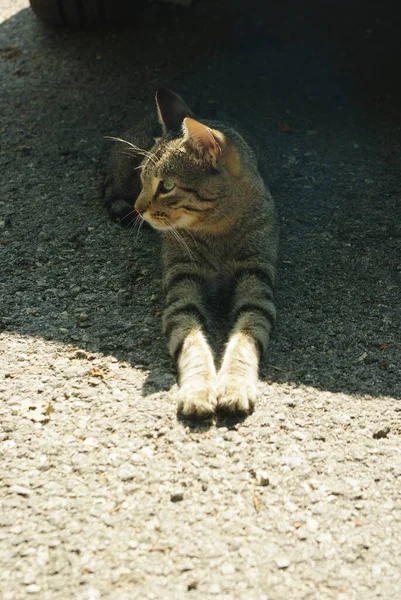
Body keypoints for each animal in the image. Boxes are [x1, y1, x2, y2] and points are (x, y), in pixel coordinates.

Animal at [104, 89, 278, 420]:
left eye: (167, 186)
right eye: (143, 179)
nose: (139, 208)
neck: (217, 230)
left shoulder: (257, 279)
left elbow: (247, 334)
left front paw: (235, 385)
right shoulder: (182, 281)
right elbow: (191, 339)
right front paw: (198, 390)